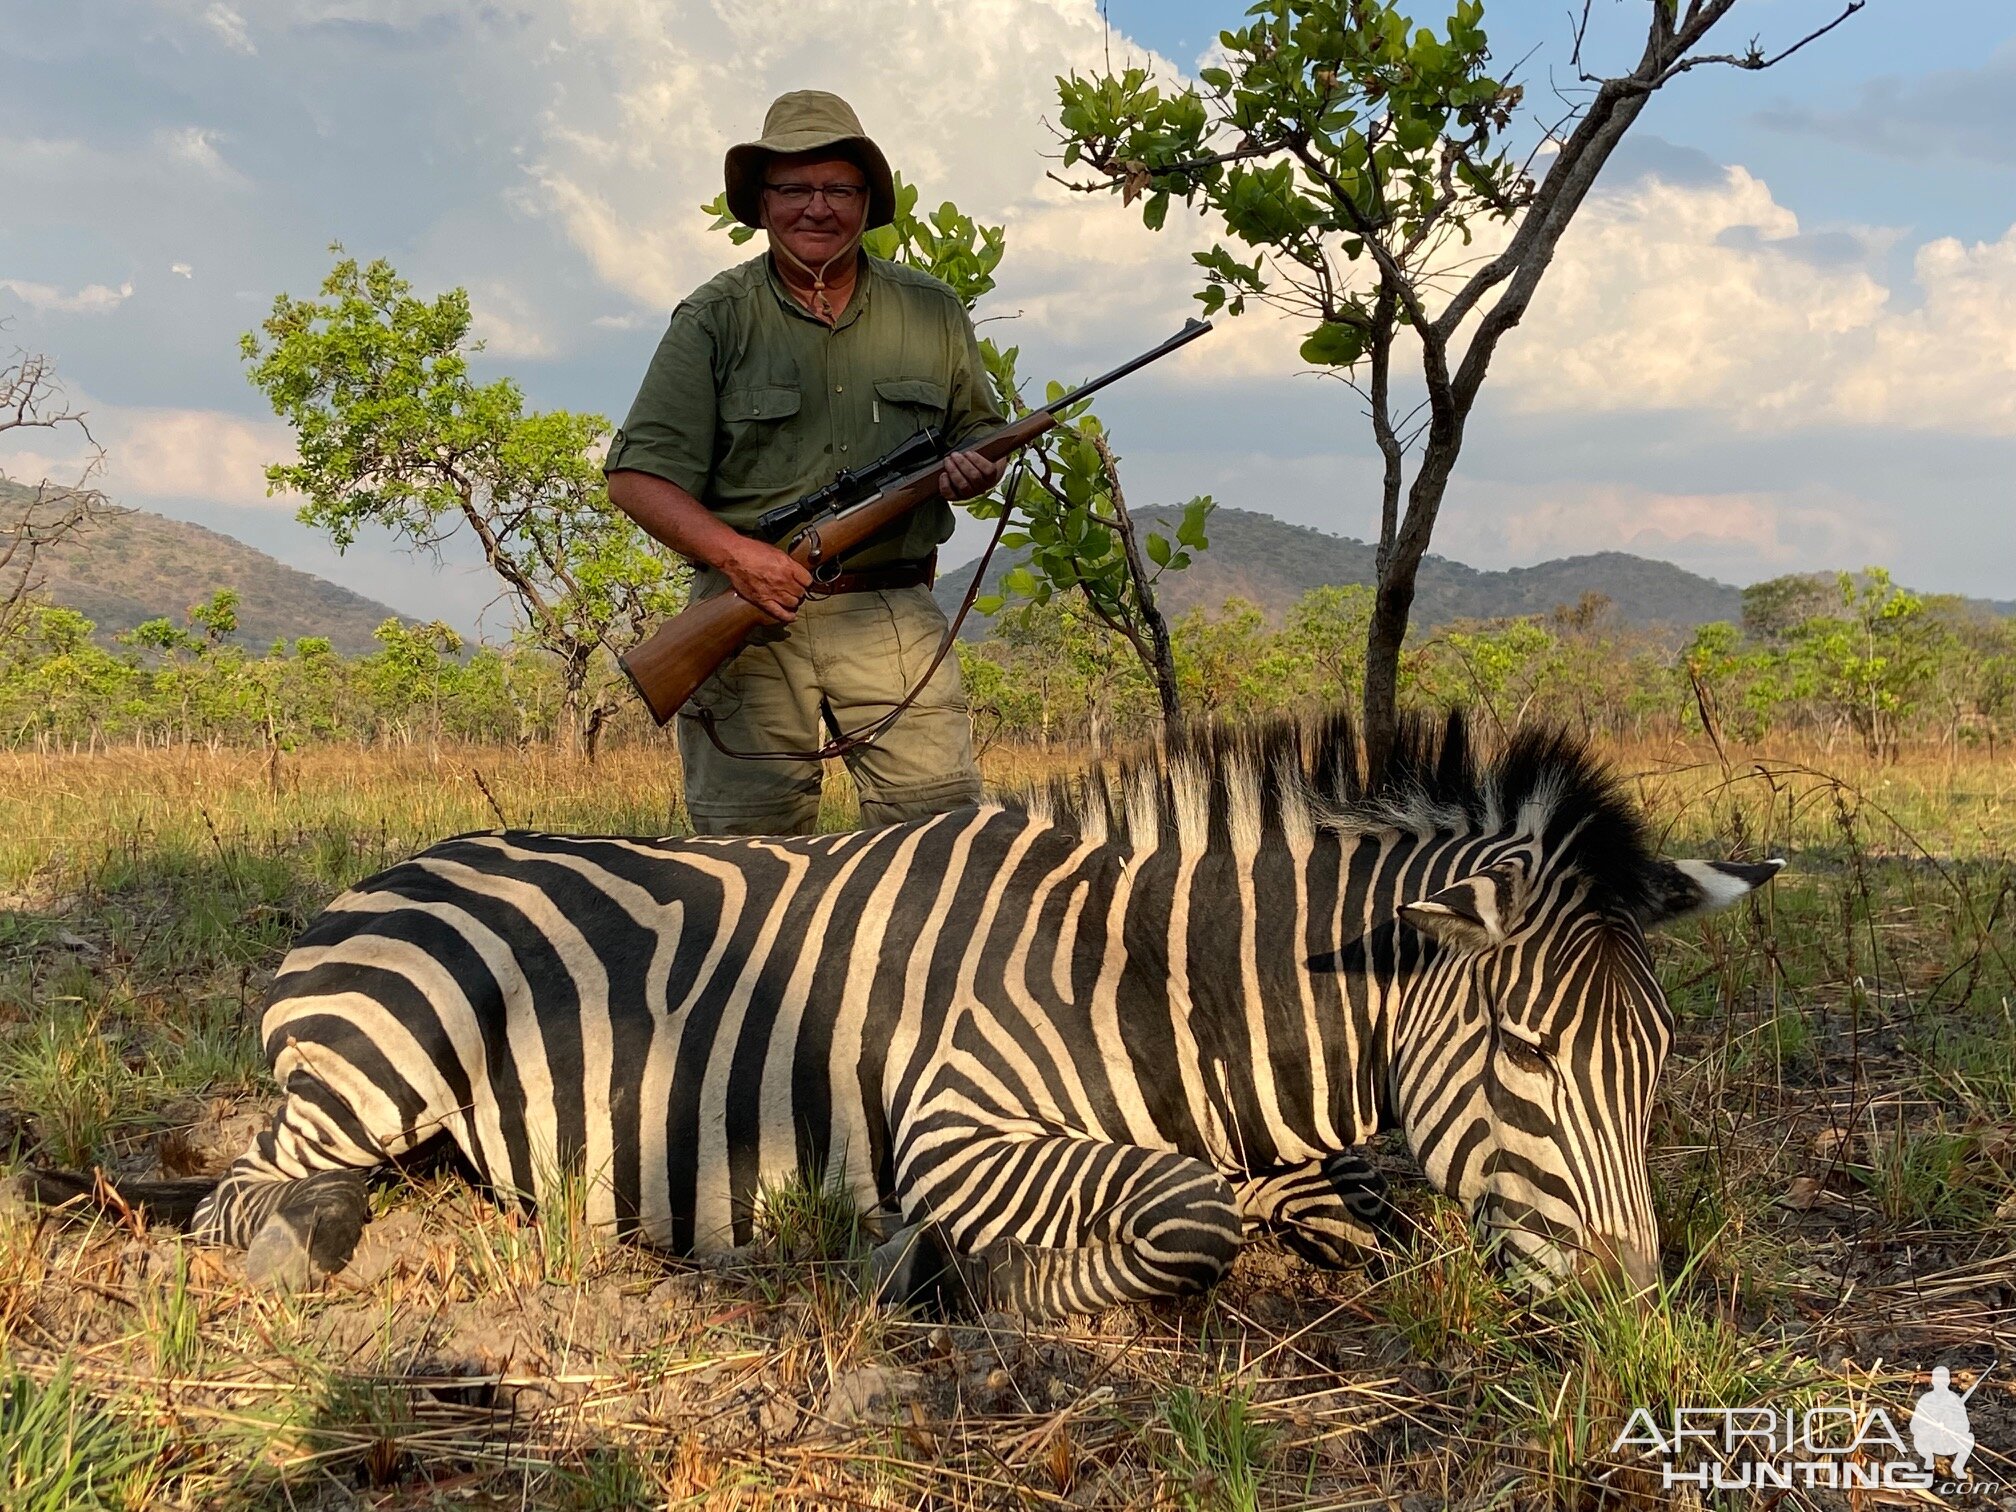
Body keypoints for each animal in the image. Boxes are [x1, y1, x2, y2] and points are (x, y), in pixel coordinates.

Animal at [15, 709, 1782, 1314]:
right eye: (1531, 1058)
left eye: (1653, 1070)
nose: (1635, 1319)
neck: (1164, 989)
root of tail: (398, 863)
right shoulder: (954, 1125)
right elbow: (1192, 1220)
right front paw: (952, 1280)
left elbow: (1356, 1215)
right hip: (376, 1062)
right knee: (250, 1196)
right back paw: (322, 1241)